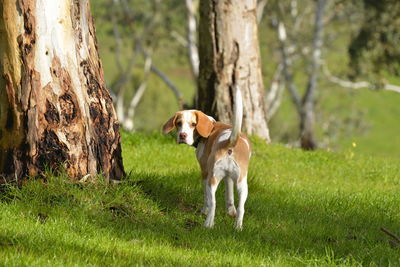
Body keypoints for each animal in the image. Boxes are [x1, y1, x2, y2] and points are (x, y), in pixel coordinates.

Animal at [162, 86, 250, 230]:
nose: (182, 136)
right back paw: (238, 227)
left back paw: (208, 223)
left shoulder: (204, 172)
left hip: (211, 180)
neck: (211, 126)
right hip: (242, 184)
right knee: (241, 208)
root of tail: (230, 142)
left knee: (213, 203)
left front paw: (204, 211)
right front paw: (230, 211)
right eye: (179, 123)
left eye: (193, 124)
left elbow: (206, 199)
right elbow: (230, 195)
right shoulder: (228, 178)